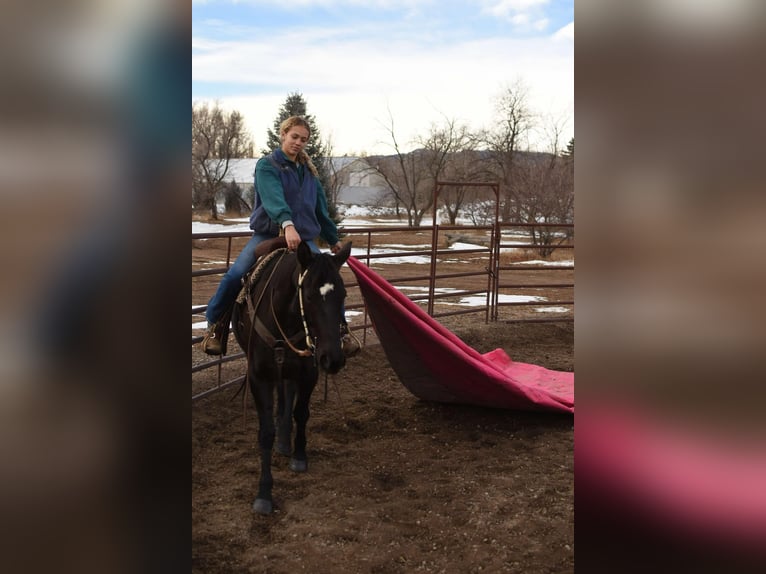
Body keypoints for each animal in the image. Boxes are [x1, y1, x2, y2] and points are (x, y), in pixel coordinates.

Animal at [231, 239, 352, 515]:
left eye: (343, 295)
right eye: (308, 296)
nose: (333, 358)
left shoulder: (309, 372)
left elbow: (301, 413)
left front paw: (298, 456)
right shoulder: (259, 378)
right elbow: (266, 432)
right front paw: (264, 494)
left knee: (287, 397)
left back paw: (286, 442)